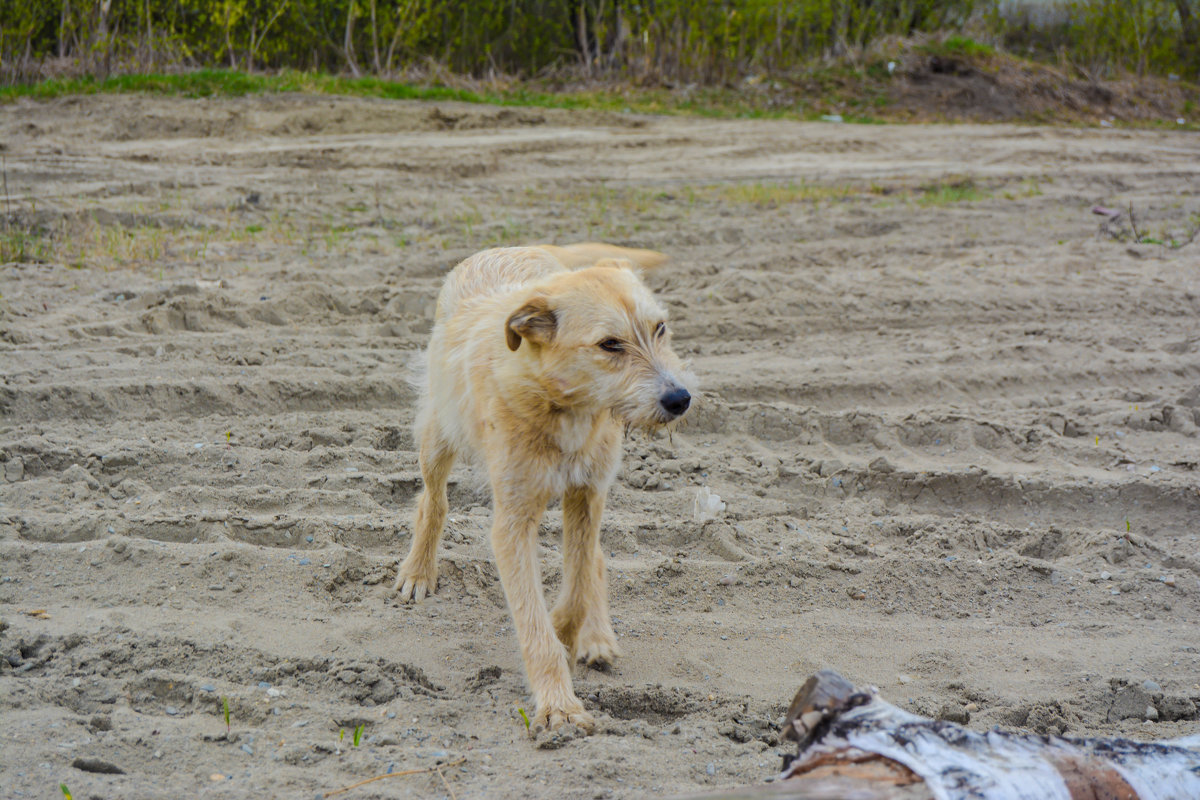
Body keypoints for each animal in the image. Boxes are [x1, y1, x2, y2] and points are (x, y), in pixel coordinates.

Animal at [393, 242, 696, 734]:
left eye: (660, 328)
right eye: (610, 344)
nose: (680, 399)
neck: (565, 404)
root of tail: (519, 246)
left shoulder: (587, 495)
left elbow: (576, 588)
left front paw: (570, 636)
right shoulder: (512, 523)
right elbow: (534, 621)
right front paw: (559, 706)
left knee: (595, 559)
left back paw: (598, 635)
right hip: (438, 435)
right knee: (433, 501)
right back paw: (419, 570)